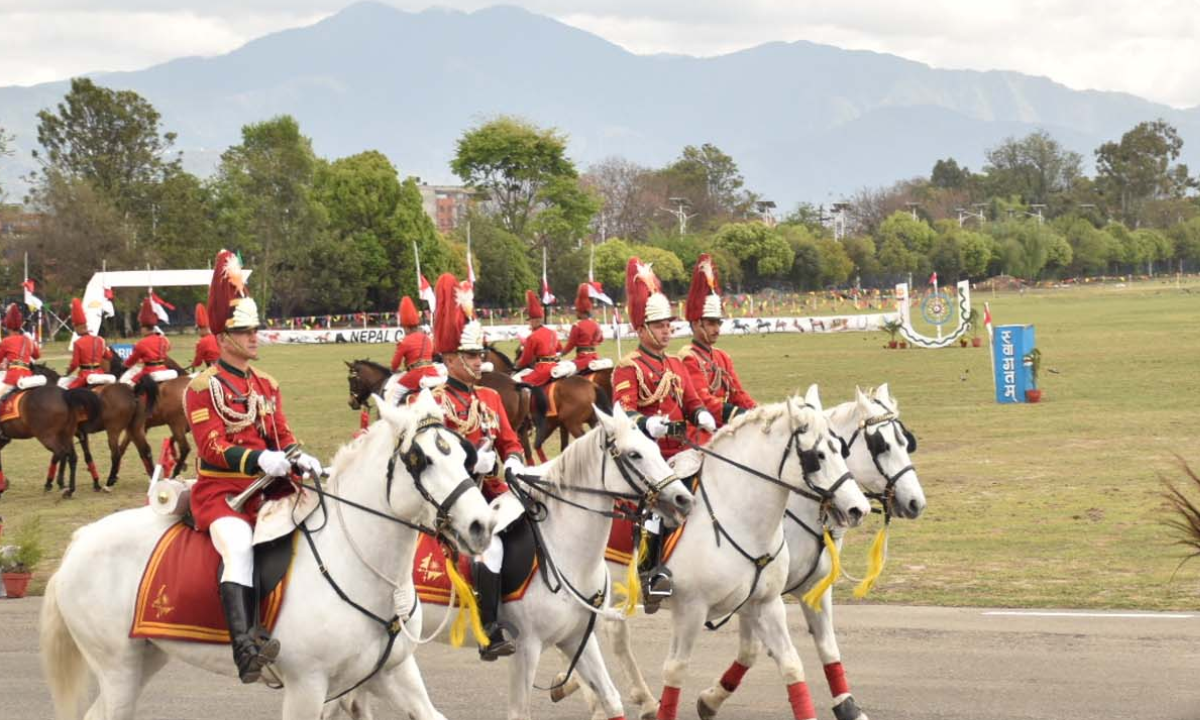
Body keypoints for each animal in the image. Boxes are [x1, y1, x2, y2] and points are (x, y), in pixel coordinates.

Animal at [39, 393, 494, 720]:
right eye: (420, 459)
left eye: (464, 454)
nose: (481, 525)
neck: (359, 566)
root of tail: (79, 542)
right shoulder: (307, 688)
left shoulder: (392, 674)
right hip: (119, 671)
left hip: (143, 660)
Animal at [336, 403, 696, 720]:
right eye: (634, 454)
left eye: (654, 447)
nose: (684, 499)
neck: (565, 549)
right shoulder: (526, 648)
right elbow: (519, 712)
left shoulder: (577, 638)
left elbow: (610, 697)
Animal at [554, 386, 873, 720]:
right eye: (817, 455)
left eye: (841, 449)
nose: (858, 508)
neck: (736, 514)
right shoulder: (690, 610)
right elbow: (676, 670)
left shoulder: (767, 603)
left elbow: (790, 663)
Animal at [696, 386, 926, 720]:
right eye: (881, 445)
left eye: (905, 441)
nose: (915, 503)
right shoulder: (754, 595)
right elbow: (752, 650)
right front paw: (711, 699)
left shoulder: (811, 588)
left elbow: (827, 646)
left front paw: (846, 705)